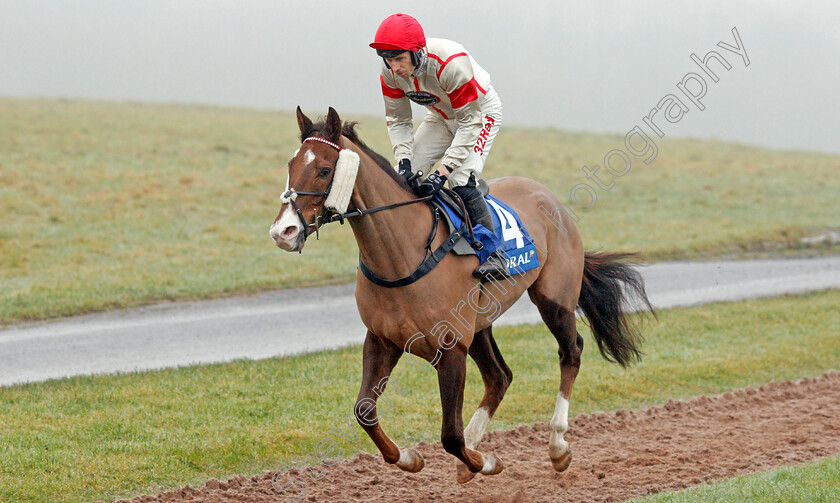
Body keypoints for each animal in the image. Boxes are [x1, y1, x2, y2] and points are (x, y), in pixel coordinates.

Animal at [272, 107, 652, 484]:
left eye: (324, 169)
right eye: (291, 165)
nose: (283, 232)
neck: (403, 255)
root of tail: (551, 198)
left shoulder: (451, 348)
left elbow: (450, 436)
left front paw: (486, 461)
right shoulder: (383, 339)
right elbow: (364, 410)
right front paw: (410, 458)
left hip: (554, 299)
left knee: (570, 353)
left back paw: (557, 446)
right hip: (481, 322)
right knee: (500, 376)